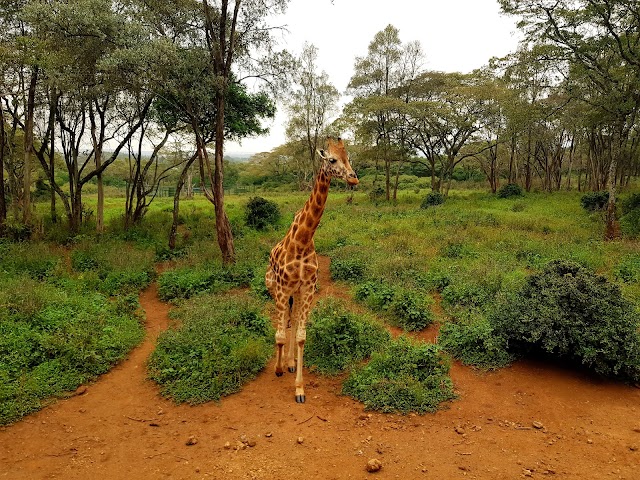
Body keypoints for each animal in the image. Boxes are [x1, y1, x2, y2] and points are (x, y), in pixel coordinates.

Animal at [262, 137, 358, 404]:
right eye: (332, 160)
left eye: (349, 158)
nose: (354, 178)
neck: (303, 240)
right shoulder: (282, 289)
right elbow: (280, 334)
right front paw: (278, 369)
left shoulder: (307, 288)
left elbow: (301, 335)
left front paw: (299, 388)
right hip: (274, 289)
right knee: (283, 323)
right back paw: (282, 364)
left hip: (294, 292)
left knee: (292, 320)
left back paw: (290, 362)